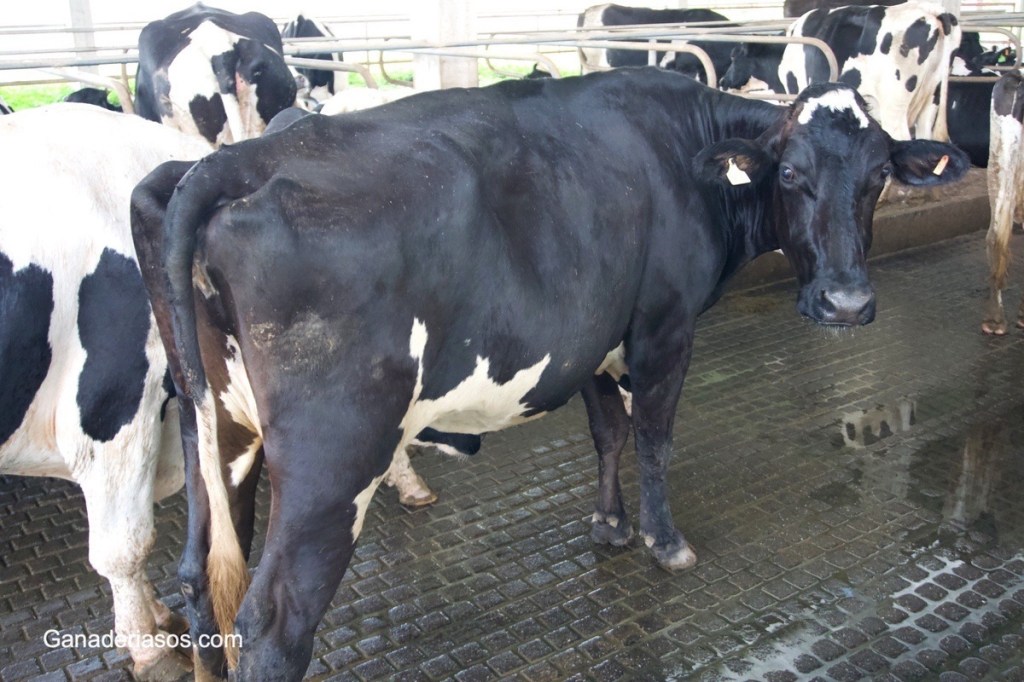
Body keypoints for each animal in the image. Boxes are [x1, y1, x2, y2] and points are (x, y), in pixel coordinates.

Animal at [130, 71, 968, 679]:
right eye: (791, 174)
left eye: (880, 175)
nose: (847, 302)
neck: (682, 153)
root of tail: (228, 160)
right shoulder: (664, 327)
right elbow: (654, 437)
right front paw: (663, 540)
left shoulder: (595, 336)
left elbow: (608, 433)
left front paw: (609, 526)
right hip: (333, 462)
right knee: (274, 622)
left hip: (220, 432)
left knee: (201, 579)